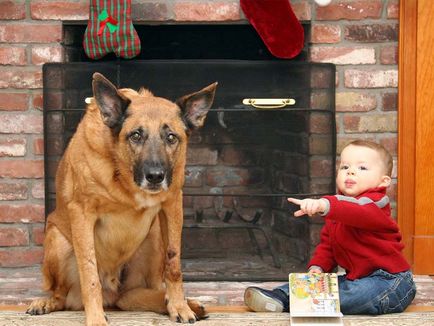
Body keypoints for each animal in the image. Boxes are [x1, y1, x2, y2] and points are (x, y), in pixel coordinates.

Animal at [26, 72, 217, 324]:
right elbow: (89, 272)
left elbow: (174, 263)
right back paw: (46, 302)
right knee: (62, 295)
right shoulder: (82, 214)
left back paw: (183, 304)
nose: (155, 176)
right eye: (135, 135)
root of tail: (113, 293)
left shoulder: (172, 204)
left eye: (171, 137)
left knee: (145, 290)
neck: (123, 176)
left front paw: (179, 306)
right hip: (57, 240)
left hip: (154, 236)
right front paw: (96, 318)